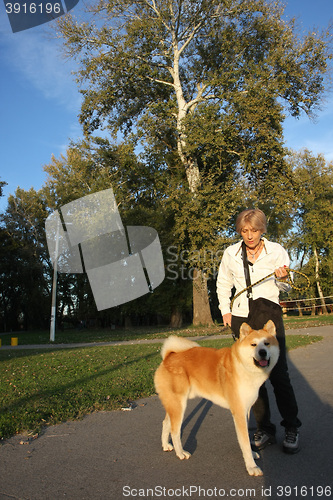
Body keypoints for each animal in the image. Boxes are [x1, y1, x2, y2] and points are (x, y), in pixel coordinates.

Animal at [154, 320, 278, 476]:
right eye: (253, 345)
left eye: (267, 343)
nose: (263, 352)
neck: (242, 366)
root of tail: (168, 357)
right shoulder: (239, 413)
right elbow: (244, 441)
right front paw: (251, 466)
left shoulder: (246, 410)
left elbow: (247, 438)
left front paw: (253, 454)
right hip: (178, 405)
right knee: (175, 431)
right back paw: (181, 453)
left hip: (173, 404)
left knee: (166, 423)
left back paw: (166, 445)